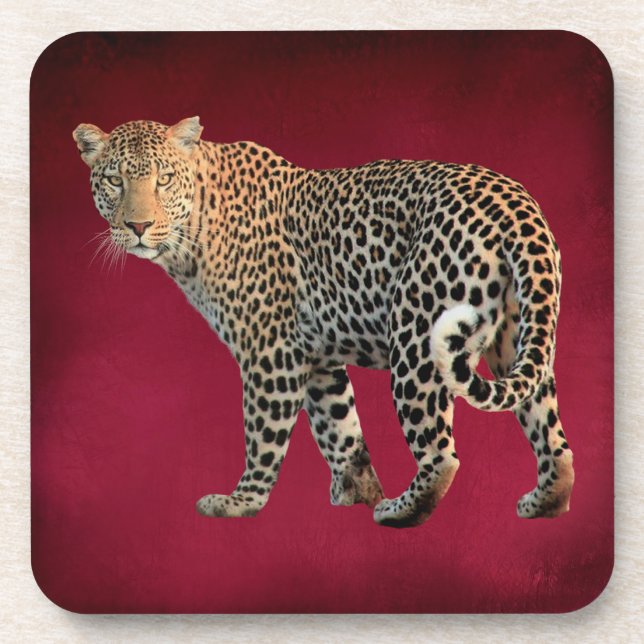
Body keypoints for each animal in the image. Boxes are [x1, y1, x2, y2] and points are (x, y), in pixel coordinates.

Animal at [72, 116, 574, 528]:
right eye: (115, 180)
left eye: (163, 179)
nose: (138, 227)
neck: (193, 230)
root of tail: (516, 204)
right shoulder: (315, 358)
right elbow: (340, 429)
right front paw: (356, 493)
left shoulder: (270, 351)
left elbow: (263, 433)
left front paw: (241, 502)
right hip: (519, 336)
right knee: (552, 435)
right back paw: (544, 502)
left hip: (417, 337)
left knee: (441, 454)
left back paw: (399, 511)